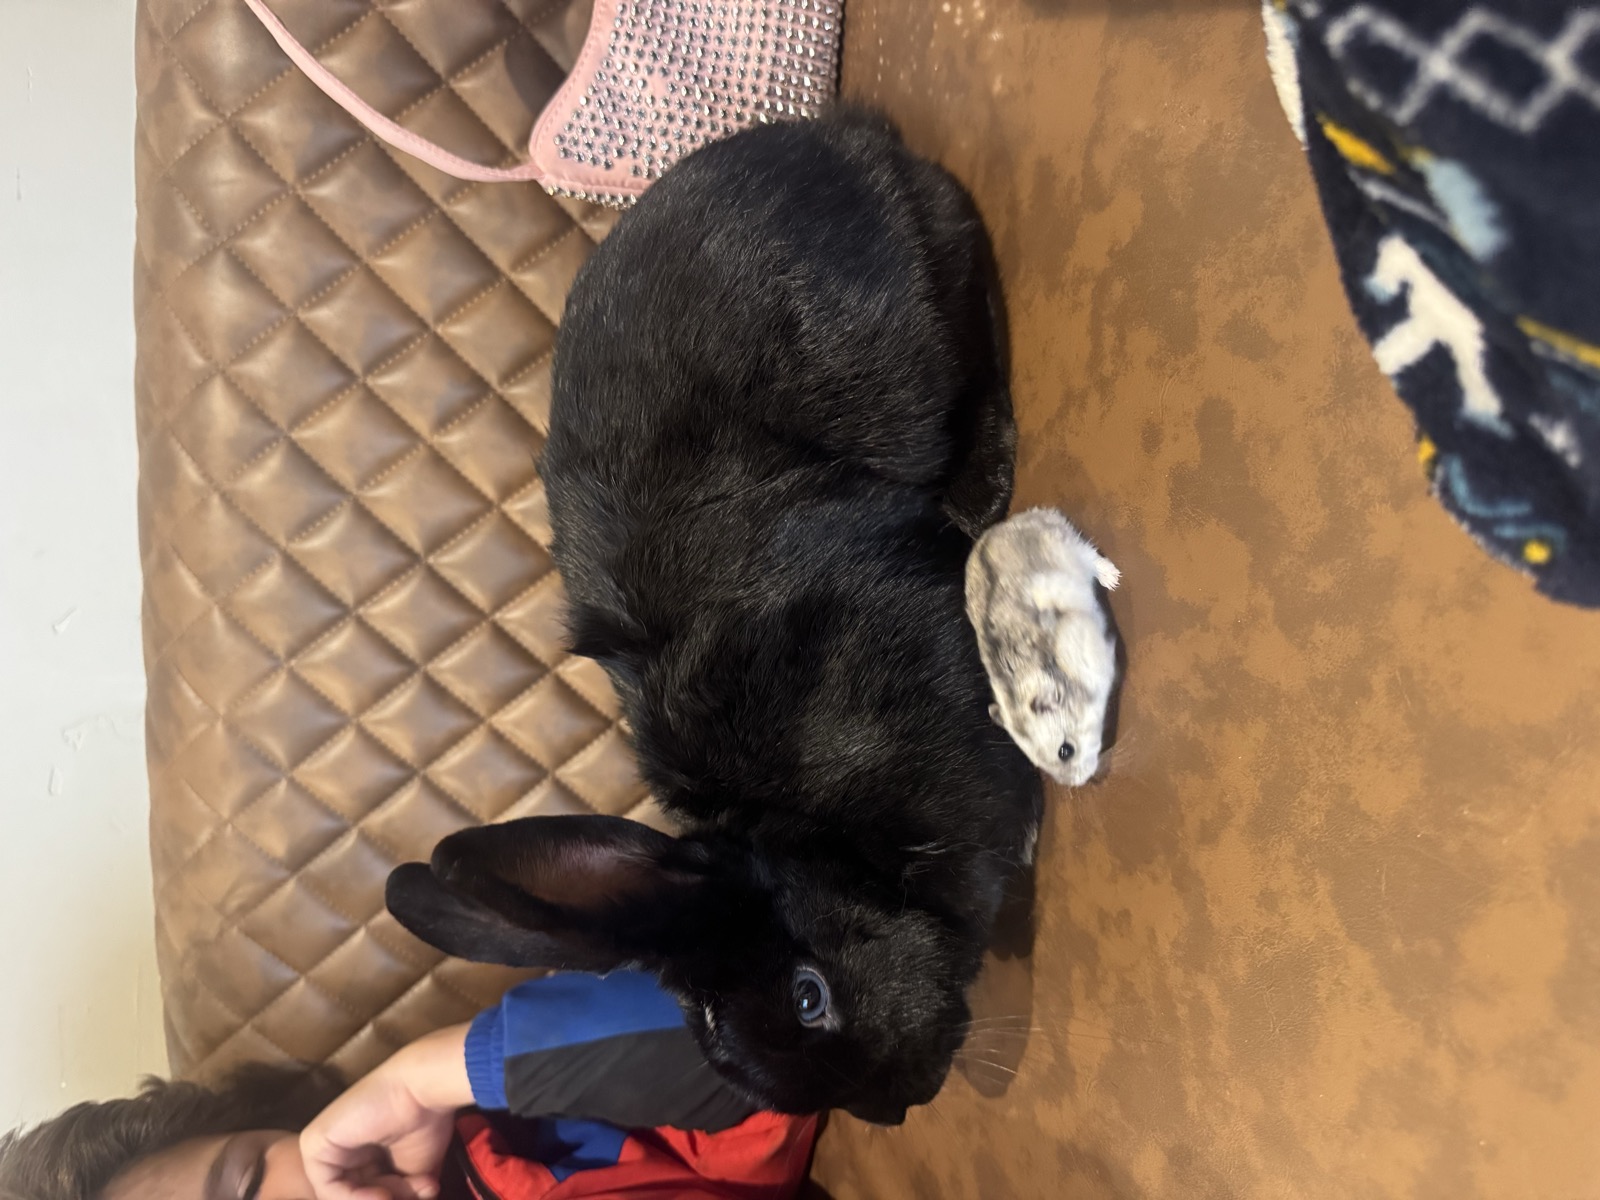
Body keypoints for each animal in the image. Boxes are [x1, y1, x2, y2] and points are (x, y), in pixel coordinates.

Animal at [385, 109, 1040, 1128]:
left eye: (809, 997)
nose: (901, 1106)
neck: (809, 828)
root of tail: (828, 134)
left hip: (925, 292)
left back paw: (983, 488)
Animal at [965, 507, 1120, 787]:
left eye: (1065, 751)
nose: (1081, 782)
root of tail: (1002, 525)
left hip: (1070, 547)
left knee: (1090, 554)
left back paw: (1113, 578)